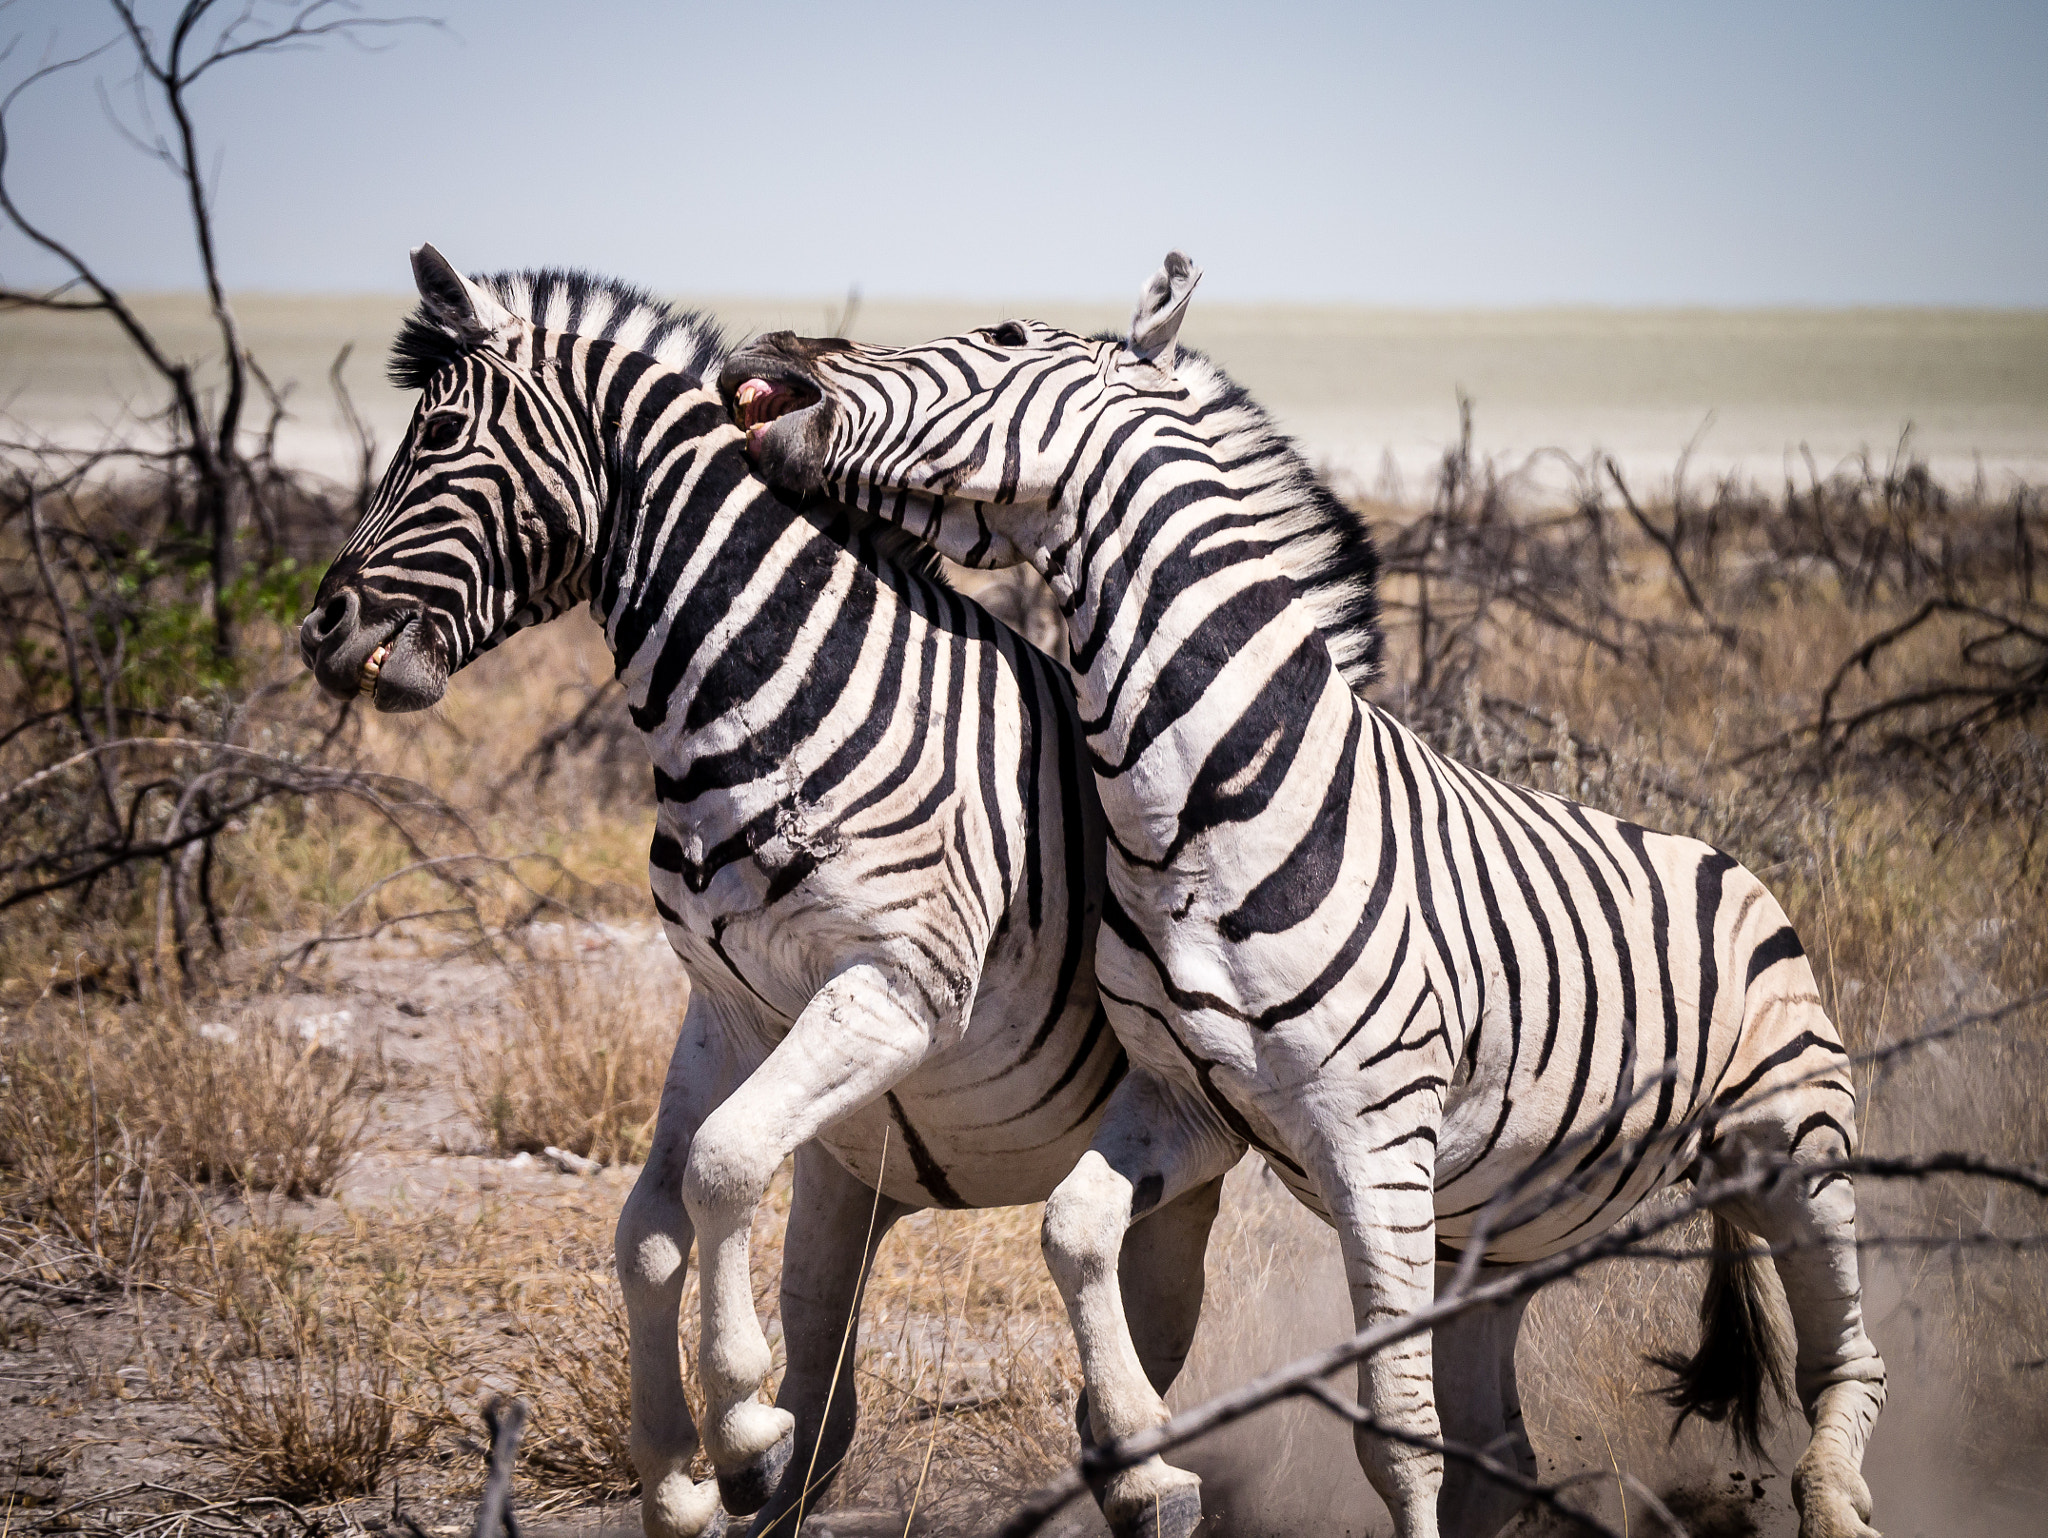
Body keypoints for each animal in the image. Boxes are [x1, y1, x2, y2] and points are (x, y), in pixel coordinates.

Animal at [299, 247, 1167, 1538]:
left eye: (440, 433)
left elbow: (718, 1165)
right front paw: (675, 1471)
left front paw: (744, 1429)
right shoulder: (724, 1004)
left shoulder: (895, 991)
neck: (769, 698)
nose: (318, 629)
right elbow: (649, 1225)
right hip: (871, 1159)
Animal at [719, 253, 1888, 1538]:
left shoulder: (1372, 1138)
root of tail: (1732, 860)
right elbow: (1072, 1228)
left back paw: (1835, 1505)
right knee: (1502, 1437)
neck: (1206, 799)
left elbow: (1396, 1426)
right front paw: (1141, 1455)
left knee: (1846, 1353)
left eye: (1007, 333)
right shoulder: (1183, 1099)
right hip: (1493, 1224)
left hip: (1790, 1146)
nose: (770, 348)